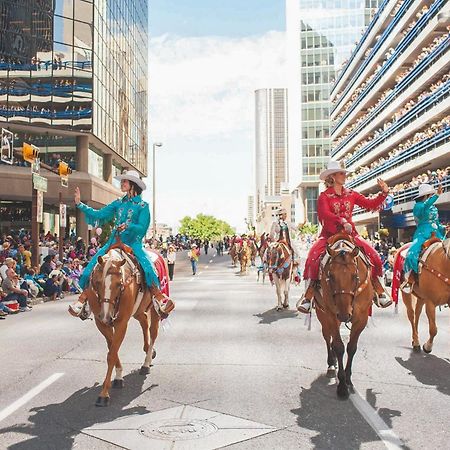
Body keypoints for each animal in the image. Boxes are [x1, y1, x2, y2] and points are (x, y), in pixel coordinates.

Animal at [84, 248, 167, 406]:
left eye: (119, 284)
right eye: (97, 282)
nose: (106, 316)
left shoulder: (122, 323)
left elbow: (111, 354)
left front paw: (104, 394)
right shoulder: (101, 324)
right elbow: (112, 349)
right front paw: (118, 377)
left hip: (154, 308)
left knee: (153, 332)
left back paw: (146, 363)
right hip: (138, 311)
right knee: (144, 321)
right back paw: (148, 350)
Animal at [312, 234, 372, 400]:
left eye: (355, 276)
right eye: (331, 276)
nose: (345, 315)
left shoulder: (361, 318)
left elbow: (352, 347)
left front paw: (348, 378)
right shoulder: (331, 316)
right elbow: (339, 347)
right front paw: (342, 386)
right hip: (323, 315)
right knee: (328, 338)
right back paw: (331, 364)